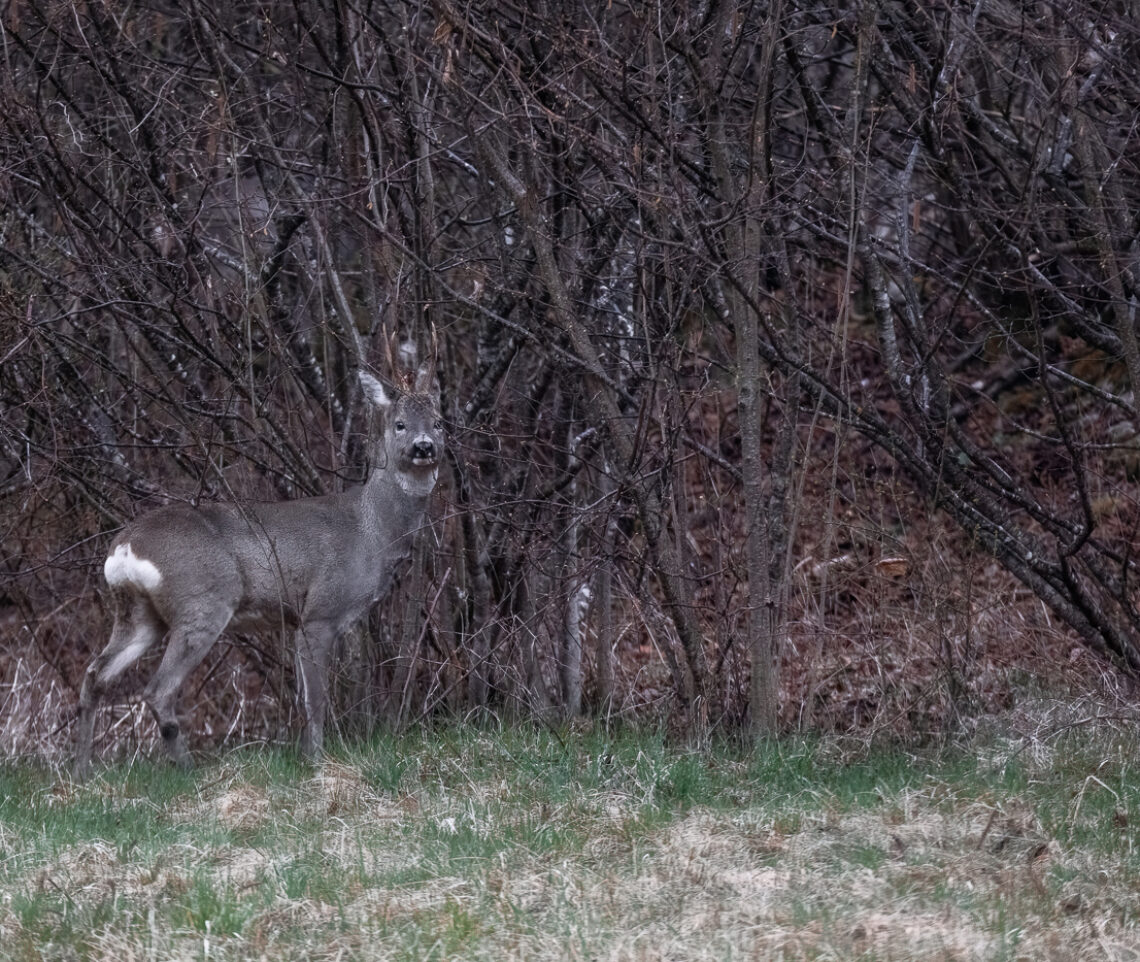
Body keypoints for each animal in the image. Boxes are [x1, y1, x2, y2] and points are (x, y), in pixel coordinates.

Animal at [74, 364, 440, 779]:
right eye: (399, 424)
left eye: (438, 422)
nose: (424, 447)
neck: (372, 530)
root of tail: (124, 548)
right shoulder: (320, 611)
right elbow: (315, 698)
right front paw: (316, 760)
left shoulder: (296, 619)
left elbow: (302, 696)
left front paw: (304, 756)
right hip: (202, 603)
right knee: (158, 690)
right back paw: (188, 770)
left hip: (139, 615)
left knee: (94, 675)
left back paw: (81, 772)